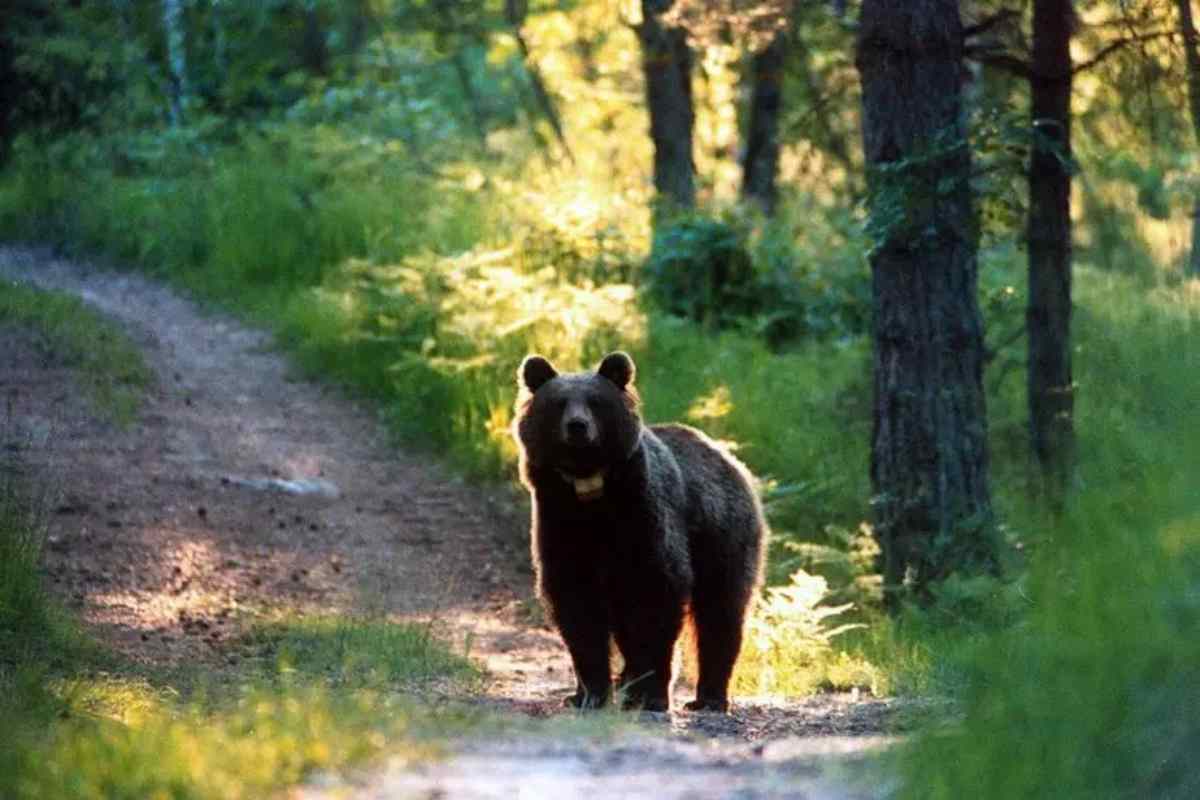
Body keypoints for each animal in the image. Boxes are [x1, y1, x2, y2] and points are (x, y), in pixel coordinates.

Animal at [511, 352, 763, 714]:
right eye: (558, 403)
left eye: (596, 401)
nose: (577, 426)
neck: (591, 493)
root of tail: (728, 458)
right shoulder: (560, 523)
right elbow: (577, 607)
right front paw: (589, 693)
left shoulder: (643, 519)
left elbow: (655, 596)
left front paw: (650, 695)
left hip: (723, 535)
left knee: (721, 612)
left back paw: (709, 698)